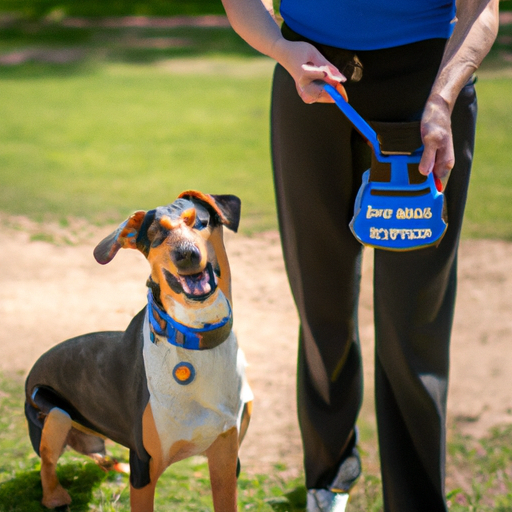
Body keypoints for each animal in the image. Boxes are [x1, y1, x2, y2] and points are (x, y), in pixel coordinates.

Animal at [25, 191, 253, 512]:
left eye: (199, 221)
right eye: (155, 234)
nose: (186, 254)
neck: (194, 336)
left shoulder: (227, 457)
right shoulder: (144, 466)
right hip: (53, 412)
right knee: (47, 461)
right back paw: (55, 496)